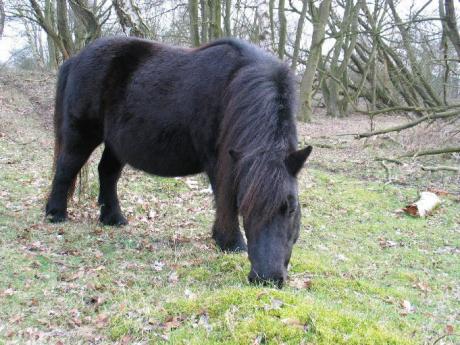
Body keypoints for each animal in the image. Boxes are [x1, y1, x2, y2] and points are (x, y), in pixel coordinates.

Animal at [45, 37, 312, 284]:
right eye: (245, 207)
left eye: (291, 208)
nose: (267, 278)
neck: (236, 84)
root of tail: (75, 59)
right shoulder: (219, 164)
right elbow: (223, 199)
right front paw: (231, 242)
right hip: (81, 135)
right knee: (66, 169)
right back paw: (55, 214)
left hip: (115, 144)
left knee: (107, 173)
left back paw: (113, 219)